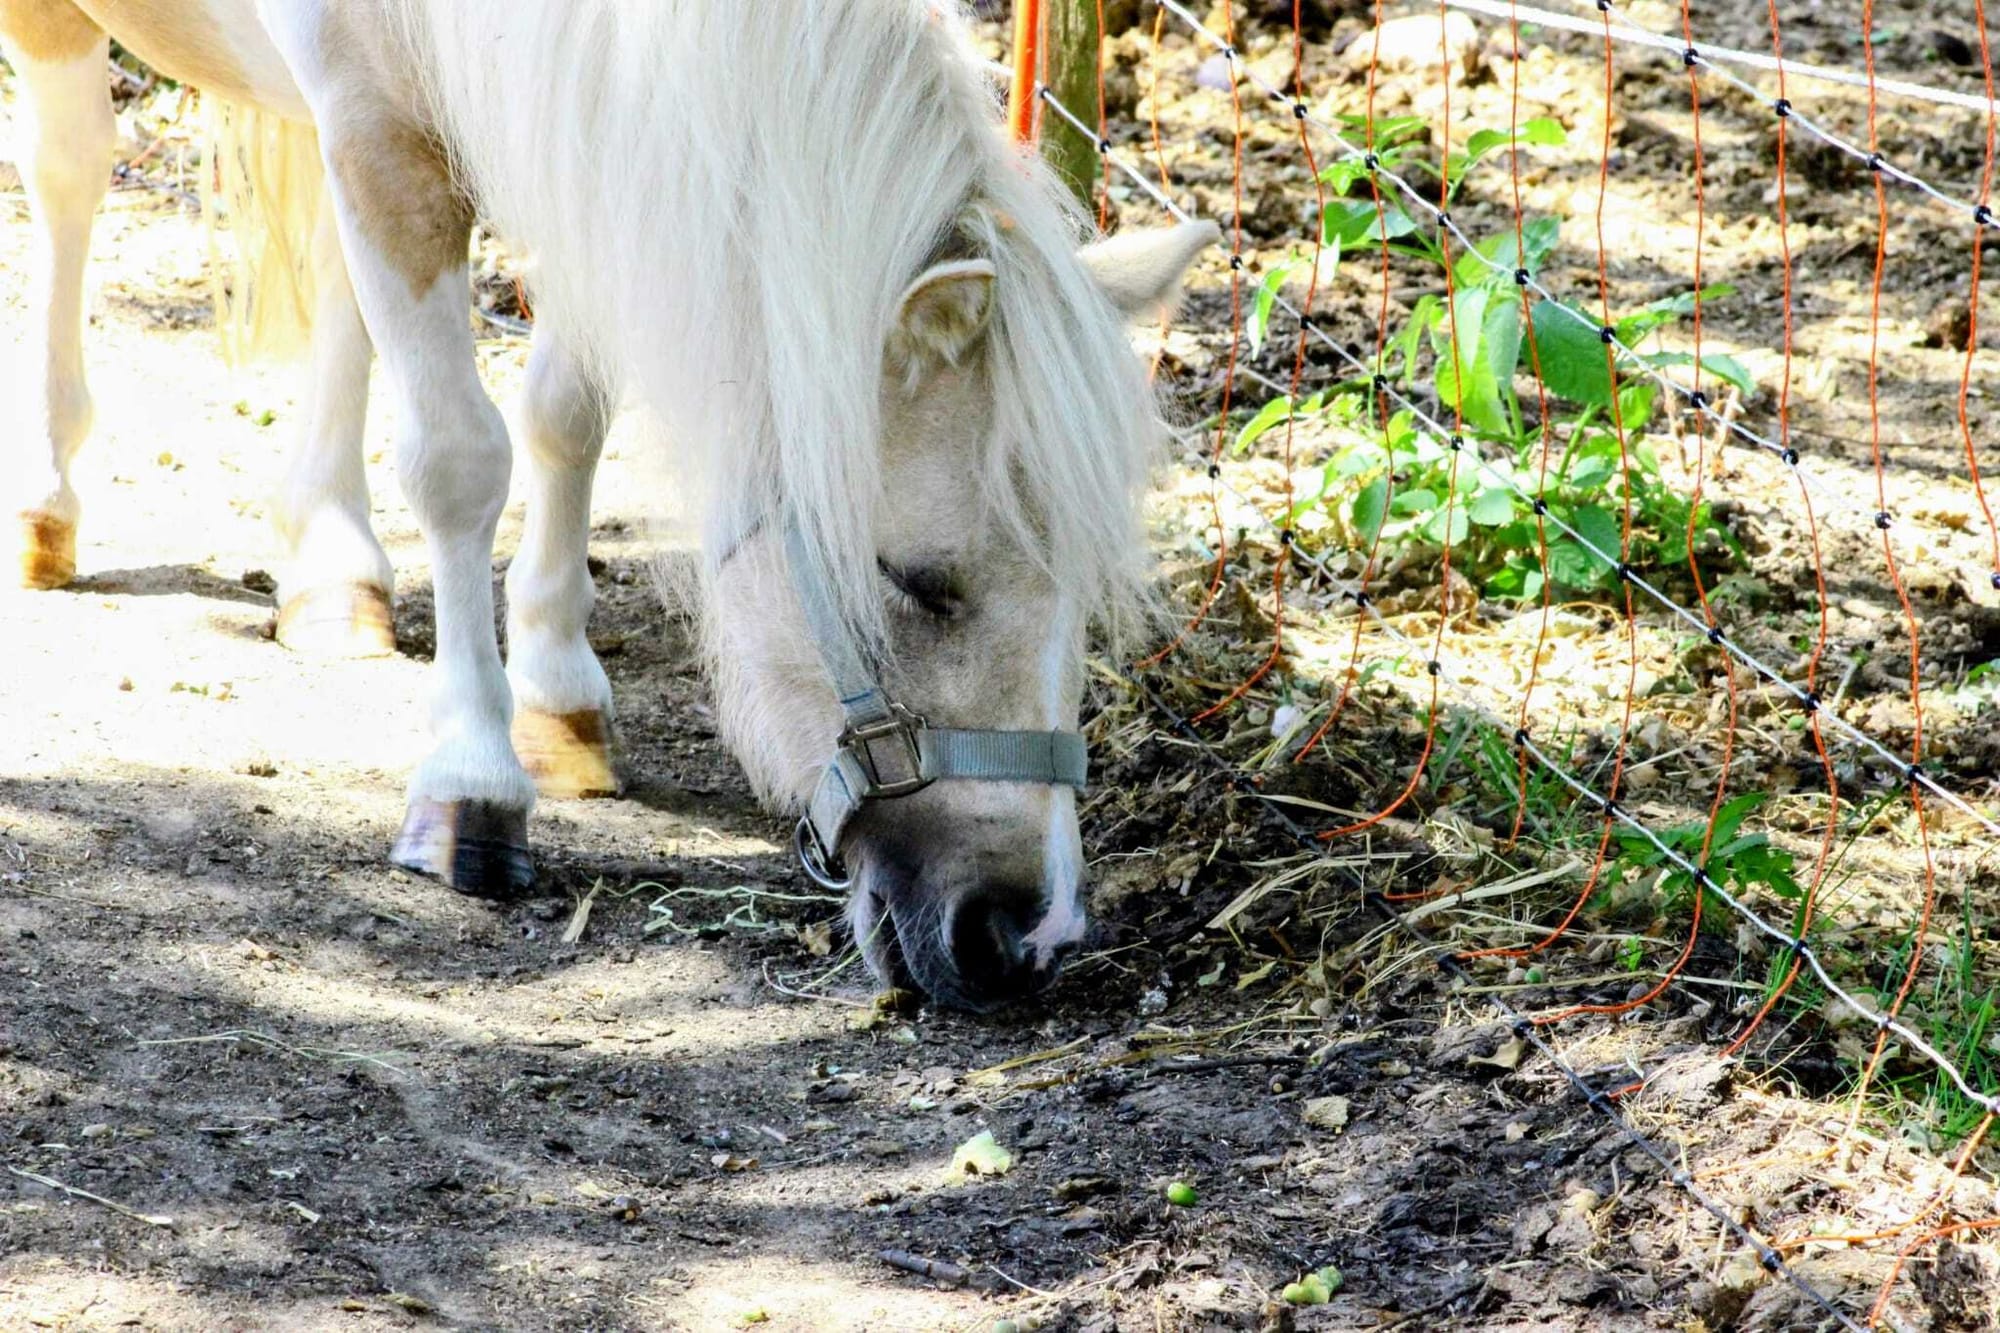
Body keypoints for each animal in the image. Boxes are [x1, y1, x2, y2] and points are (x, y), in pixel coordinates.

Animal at [0, 0, 1200, 996]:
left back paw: (334, 567)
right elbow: (459, 457)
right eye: (915, 580)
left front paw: (558, 694)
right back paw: (46, 500)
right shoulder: (384, 120)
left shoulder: (572, 143)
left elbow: (565, 413)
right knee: (69, 166)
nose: (1027, 937)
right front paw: (473, 782)